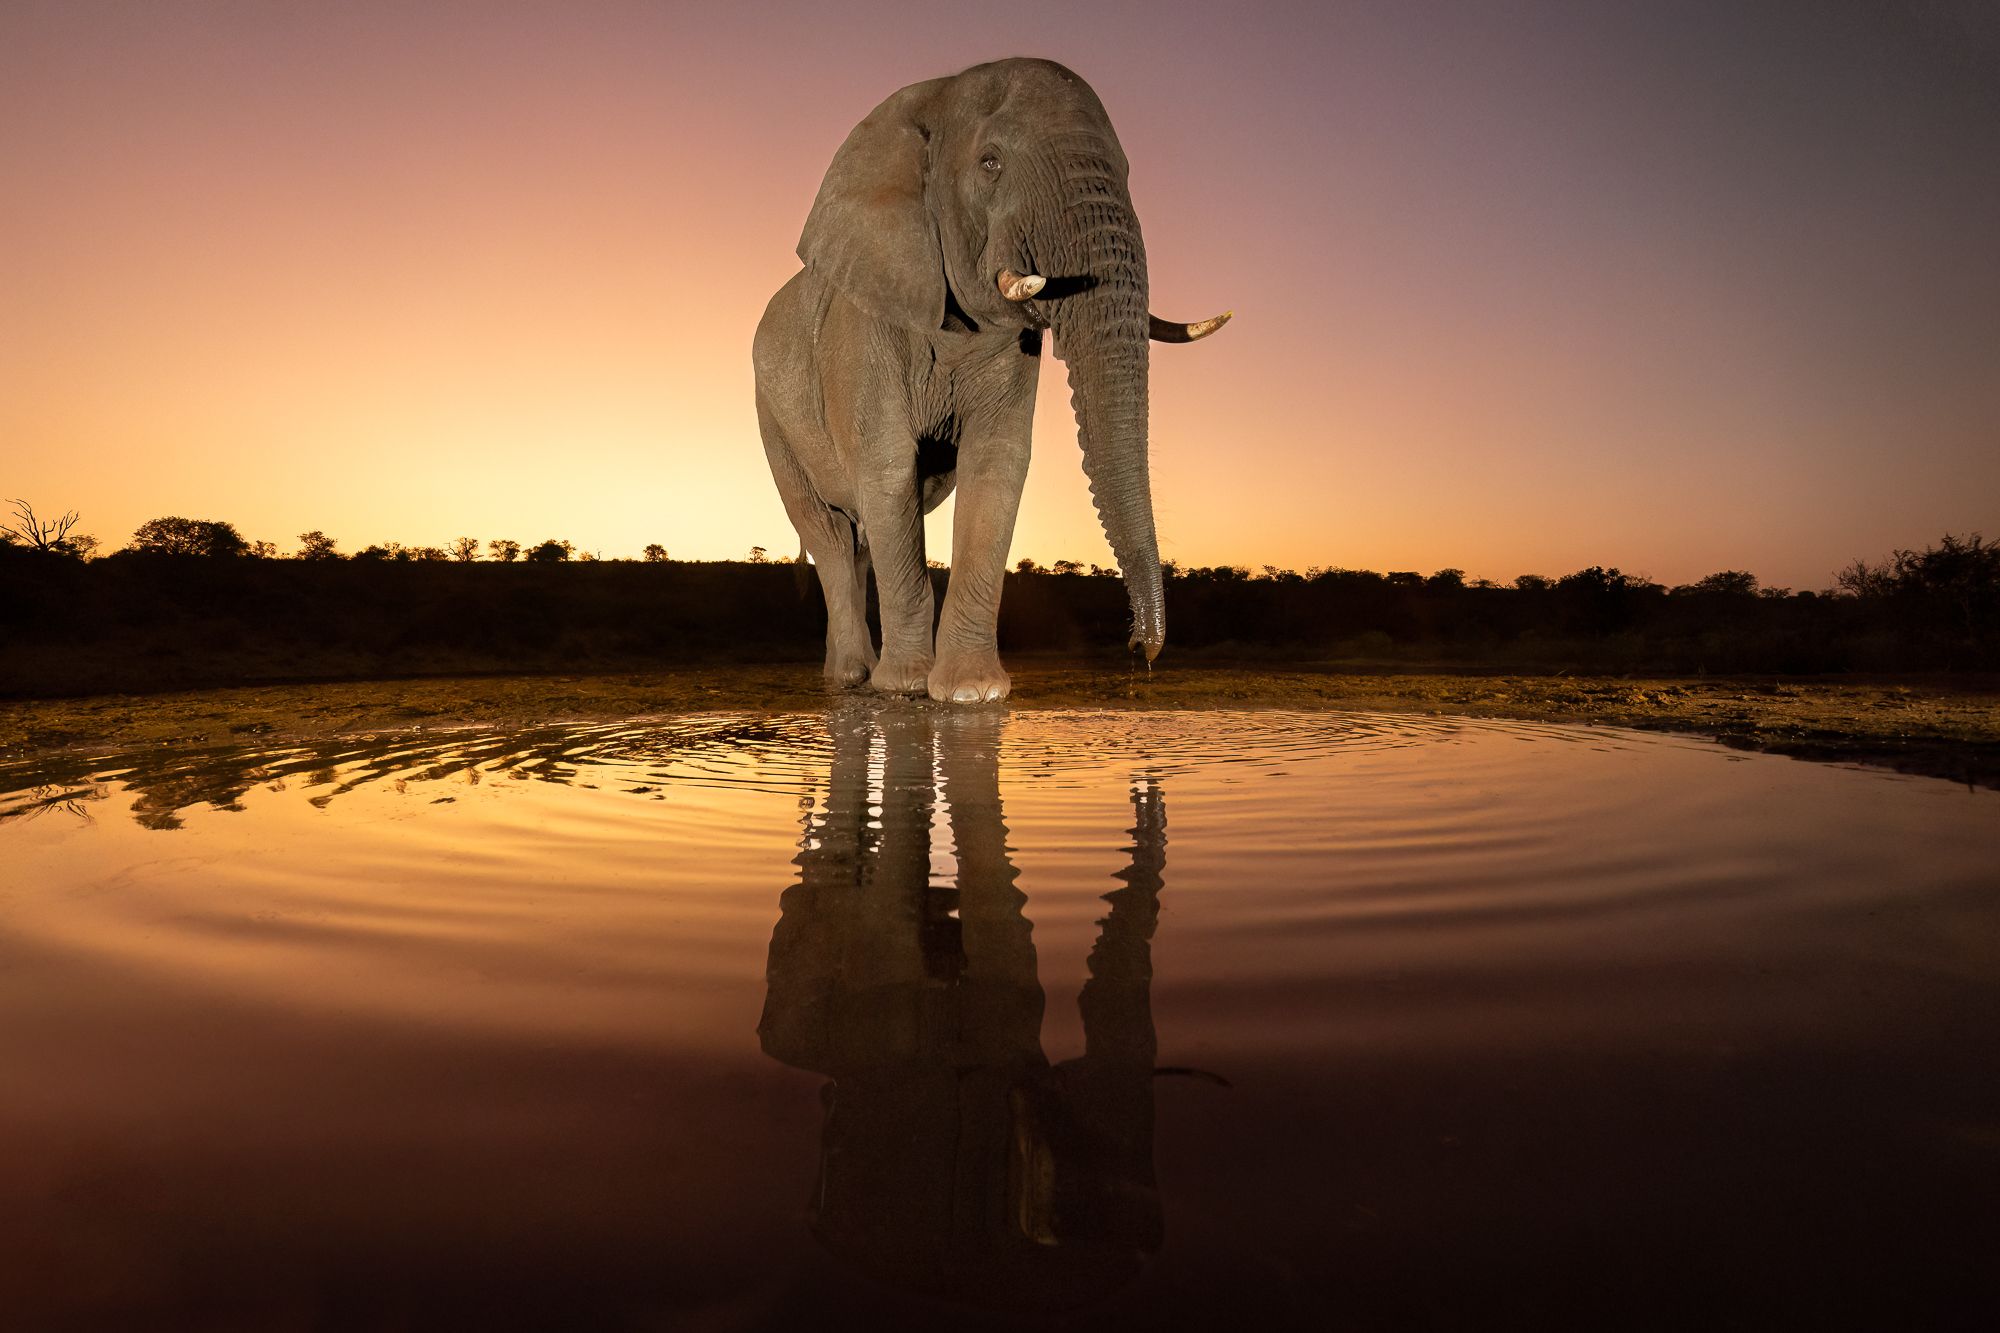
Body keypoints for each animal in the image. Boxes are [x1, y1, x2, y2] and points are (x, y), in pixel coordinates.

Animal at [752, 57, 1224, 700]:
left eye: (1129, 172)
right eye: (990, 162)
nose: (1140, 651)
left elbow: (996, 464)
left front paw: (972, 693)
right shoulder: (864, 324)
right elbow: (888, 466)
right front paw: (906, 688)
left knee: (859, 539)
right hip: (770, 413)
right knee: (825, 529)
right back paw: (853, 679)